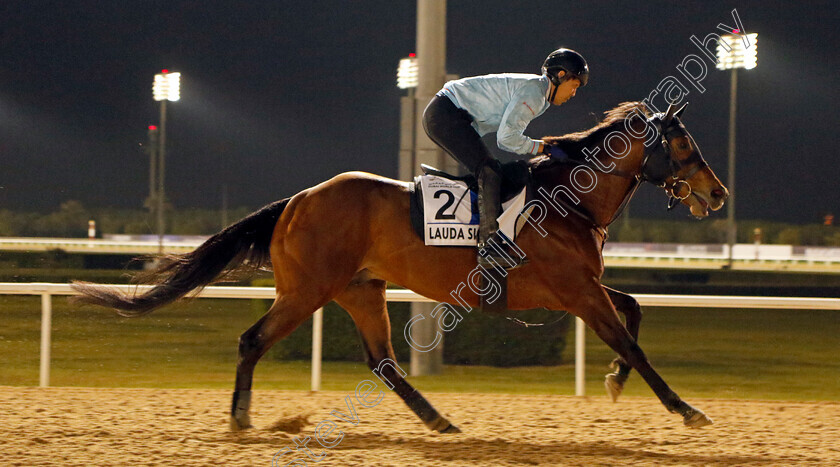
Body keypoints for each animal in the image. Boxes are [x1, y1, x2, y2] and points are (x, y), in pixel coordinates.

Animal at [72, 100, 728, 434]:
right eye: (683, 143)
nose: (717, 193)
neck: (569, 197)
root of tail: (297, 200)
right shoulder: (575, 291)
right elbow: (633, 340)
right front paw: (686, 409)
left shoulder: (583, 287)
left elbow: (635, 312)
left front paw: (614, 380)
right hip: (308, 290)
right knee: (253, 339)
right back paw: (239, 418)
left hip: (362, 289)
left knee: (383, 361)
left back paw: (438, 420)